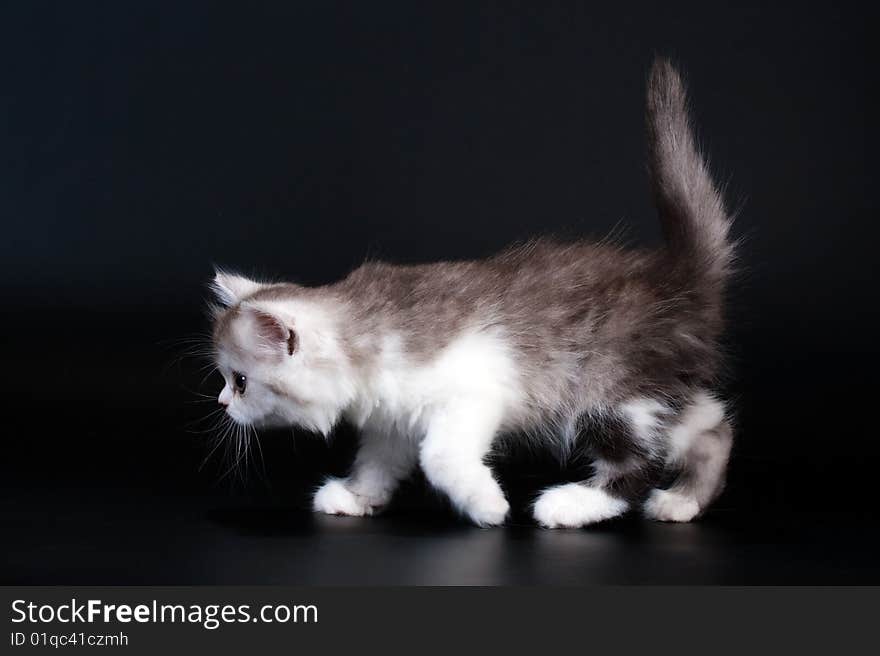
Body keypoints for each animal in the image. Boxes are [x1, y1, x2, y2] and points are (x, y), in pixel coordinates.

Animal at [211, 59, 736, 524]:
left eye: (240, 381)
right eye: (226, 380)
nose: (220, 402)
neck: (366, 330)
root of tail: (676, 277)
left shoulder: (476, 391)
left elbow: (439, 456)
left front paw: (487, 505)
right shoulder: (393, 418)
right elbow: (379, 460)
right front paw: (358, 497)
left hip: (607, 391)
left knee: (638, 464)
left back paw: (569, 505)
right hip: (656, 393)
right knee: (715, 426)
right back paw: (683, 502)